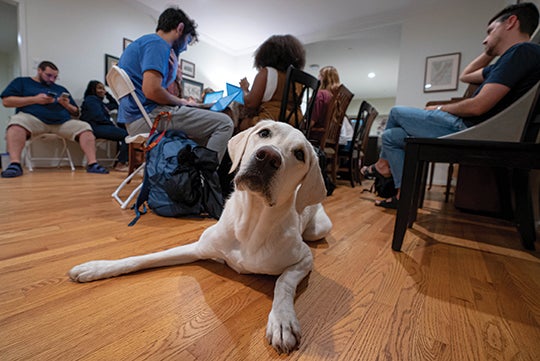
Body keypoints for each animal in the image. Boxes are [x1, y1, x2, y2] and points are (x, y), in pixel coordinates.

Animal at [69, 119, 332, 352]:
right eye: (264, 133)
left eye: (299, 154)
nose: (268, 156)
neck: (251, 222)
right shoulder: (198, 247)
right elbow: (144, 258)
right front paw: (97, 267)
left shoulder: (303, 259)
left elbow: (283, 282)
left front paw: (282, 320)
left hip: (318, 230)